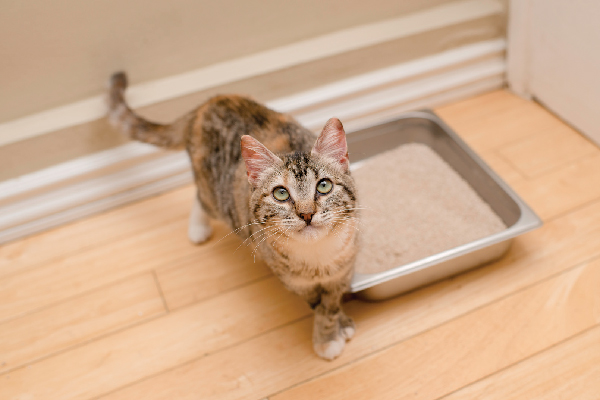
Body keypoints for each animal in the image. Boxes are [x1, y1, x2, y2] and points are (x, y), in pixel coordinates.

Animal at [107, 71, 358, 360]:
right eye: (281, 194)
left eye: (324, 186)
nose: (307, 214)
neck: (318, 258)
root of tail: (206, 104)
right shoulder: (292, 279)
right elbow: (318, 305)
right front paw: (327, 340)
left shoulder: (345, 265)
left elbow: (332, 303)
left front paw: (340, 324)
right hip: (215, 194)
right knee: (201, 197)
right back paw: (198, 229)